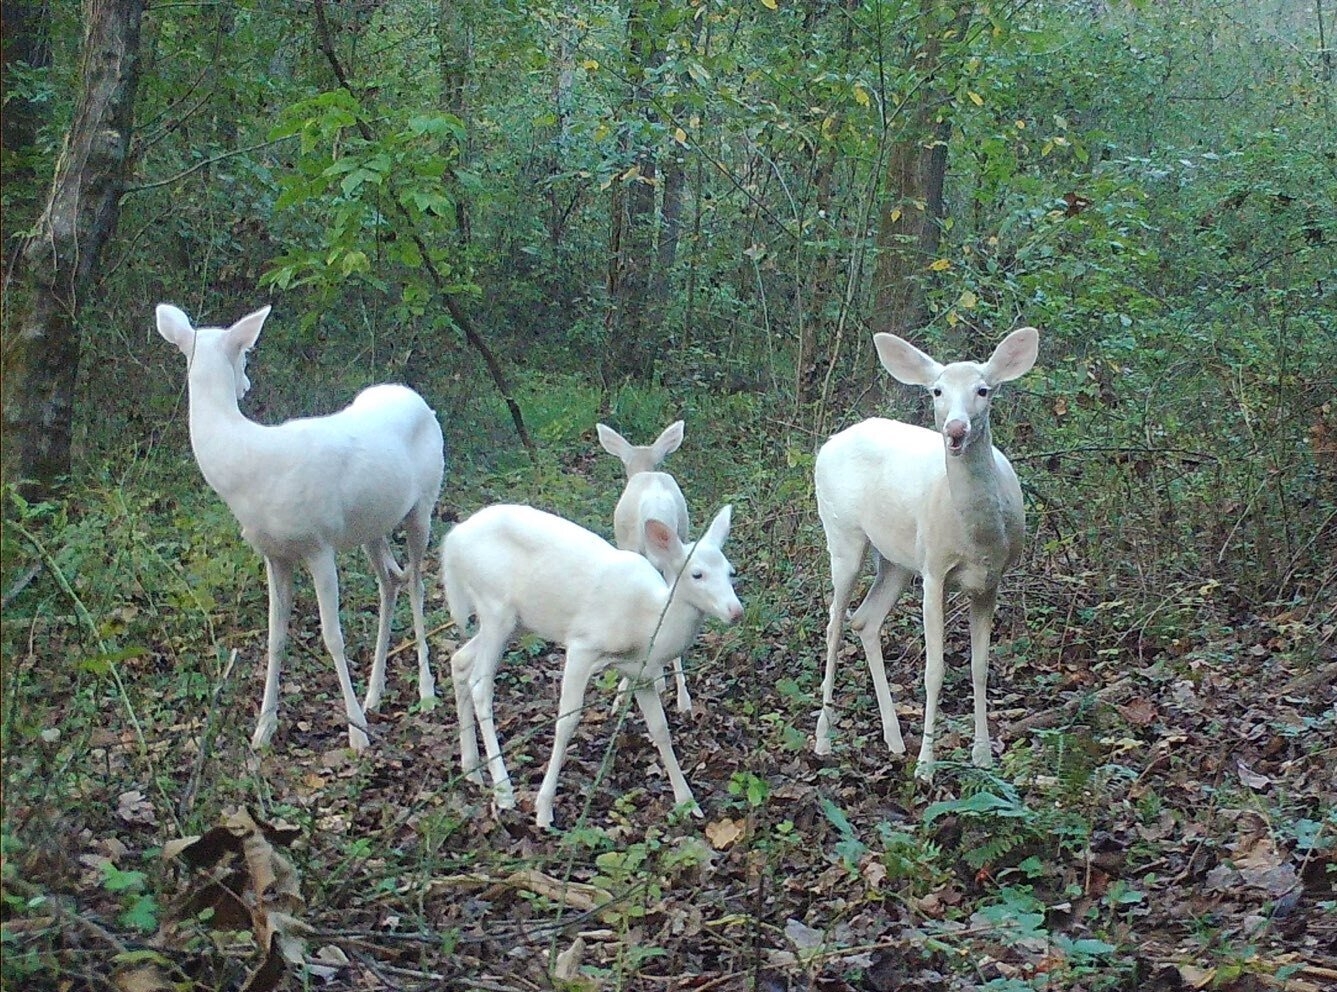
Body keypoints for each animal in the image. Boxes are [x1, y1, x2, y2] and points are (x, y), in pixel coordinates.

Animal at [156, 303, 445, 751]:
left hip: (423, 505)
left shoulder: (318, 543)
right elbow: (275, 637)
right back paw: (375, 691)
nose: (245, 385)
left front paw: (356, 733)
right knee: (390, 580)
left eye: (245, 354)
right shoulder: (274, 553)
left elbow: (332, 636)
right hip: (370, 525)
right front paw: (263, 729)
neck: (248, 463)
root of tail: (418, 399)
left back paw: (426, 691)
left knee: (416, 582)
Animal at [440, 503, 741, 828]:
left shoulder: (640, 672)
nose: (736, 611)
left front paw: (688, 802)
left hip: (516, 622)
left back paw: (471, 769)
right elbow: (566, 722)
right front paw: (544, 810)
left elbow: (660, 728)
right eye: (697, 574)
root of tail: (452, 540)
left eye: (730, 572)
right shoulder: (582, 646)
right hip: (495, 607)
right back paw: (504, 791)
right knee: (480, 686)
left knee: (459, 661)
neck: (646, 624)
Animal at [814, 326, 1039, 780]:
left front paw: (983, 757)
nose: (955, 429)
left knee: (865, 620)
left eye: (984, 389)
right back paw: (824, 739)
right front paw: (926, 766)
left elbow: (979, 667)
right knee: (834, 623)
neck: (977, 539)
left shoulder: (990, 581)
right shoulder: (935, 571)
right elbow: (934, 670)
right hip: (843, 535)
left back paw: (894, 738)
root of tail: (829, 442)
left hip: (898, 560)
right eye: (937, 390)